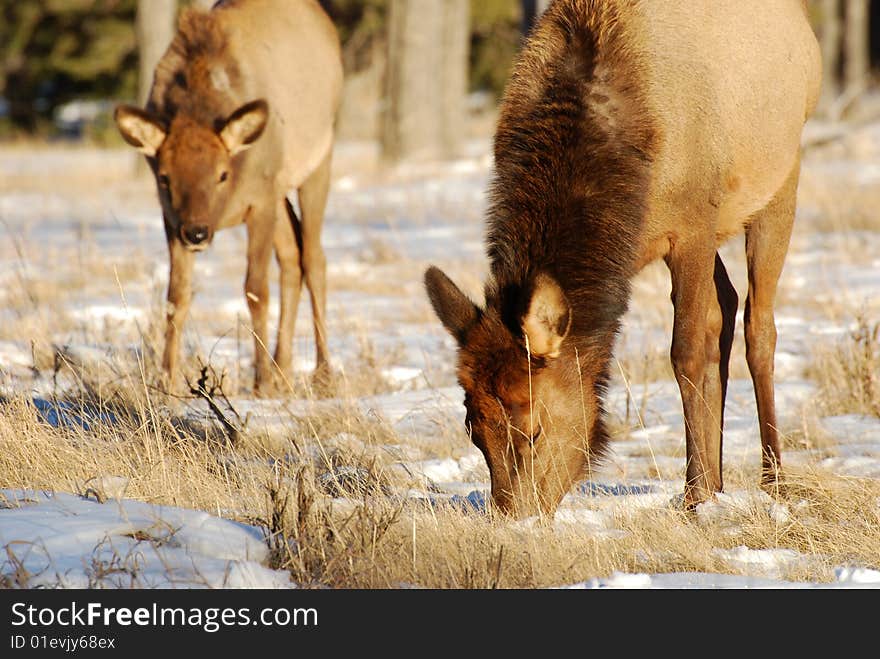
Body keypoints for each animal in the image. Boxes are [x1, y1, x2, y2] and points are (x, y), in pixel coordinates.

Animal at [113, 0, 340, 394]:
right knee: (293, 257)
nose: (197, 233)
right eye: (164, 176)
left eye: (222, 174)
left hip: (316, 159)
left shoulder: (259, 201)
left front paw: (261, 382)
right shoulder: (171, 216)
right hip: (278, 187)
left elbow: (255, 289)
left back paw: (321, 373)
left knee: (314, 257)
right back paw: (284, 370)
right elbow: (176, 296)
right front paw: (166, 380)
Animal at [422, 0, 820, 520]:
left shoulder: (692, 223)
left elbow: (686, 352)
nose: (514, 518)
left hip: (780, 177)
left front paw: (694, 498)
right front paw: (705, 488)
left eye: (533, 429)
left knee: (759, 326)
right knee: (728, 307)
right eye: (473, 428)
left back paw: (773, 482)